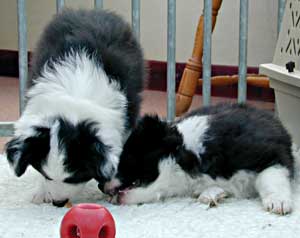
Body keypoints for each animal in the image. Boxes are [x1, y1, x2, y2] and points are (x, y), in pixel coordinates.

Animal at [4, 9, 145, 206]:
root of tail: (93, 11)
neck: (73, 100)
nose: (58, 202)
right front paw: (40, 192)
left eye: (75, 178)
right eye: (46, 175)